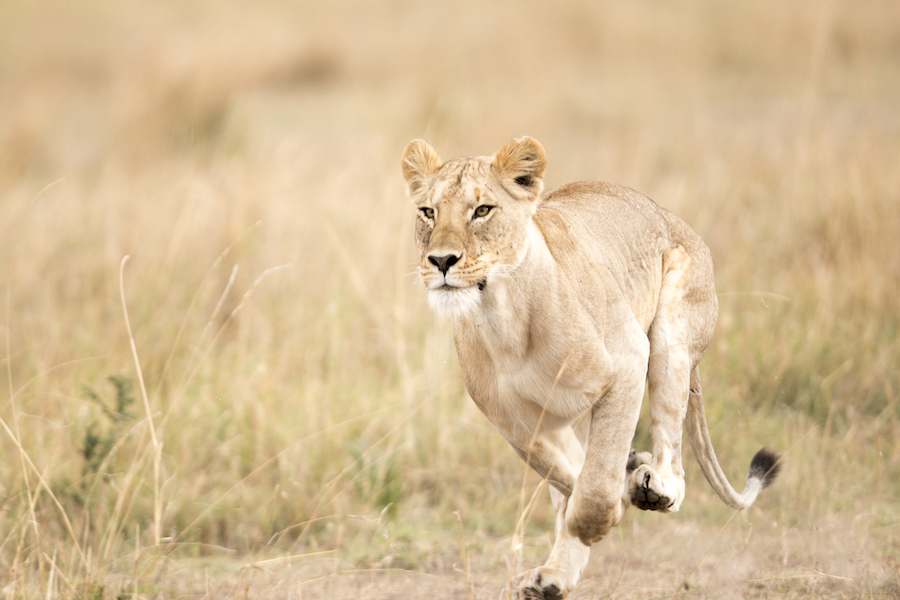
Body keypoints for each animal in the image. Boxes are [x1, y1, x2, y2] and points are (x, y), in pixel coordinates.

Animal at [401, 136, 781, 599]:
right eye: (428, 212)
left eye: (483, 210)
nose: (440, 261)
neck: (502, 315)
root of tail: (674, 218)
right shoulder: (520, 422)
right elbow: (570, 477)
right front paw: (618, 493)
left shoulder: (628, 359)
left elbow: (595, 486)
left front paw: (609, 509)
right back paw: (555, 576)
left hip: (671, 341)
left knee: (673, 453)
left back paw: (656, 486)